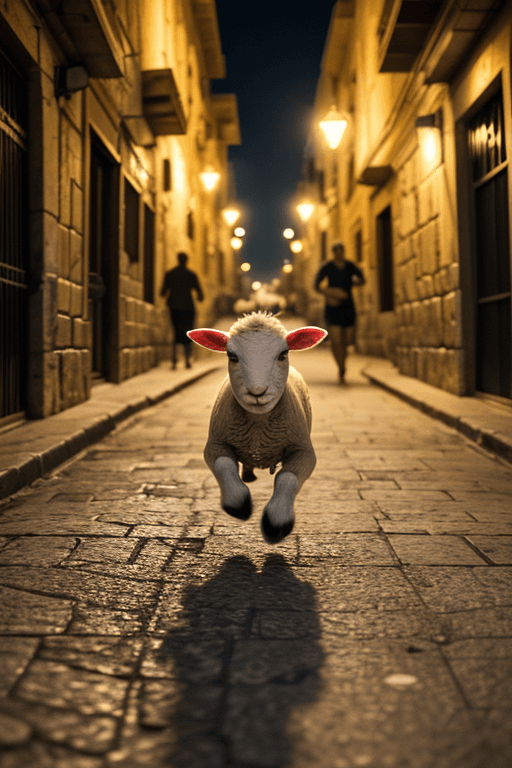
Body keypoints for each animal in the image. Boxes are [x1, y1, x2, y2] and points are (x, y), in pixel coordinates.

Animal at [187, 312, 327, 543]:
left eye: (283, 354)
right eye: (232, 356)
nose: (257, 392)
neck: (258, 426)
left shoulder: (304, 450)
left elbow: (287, 478)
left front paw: (276, 522)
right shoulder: (215, 444)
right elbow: (224, 464)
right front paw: (240, 505)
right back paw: (248, 475)